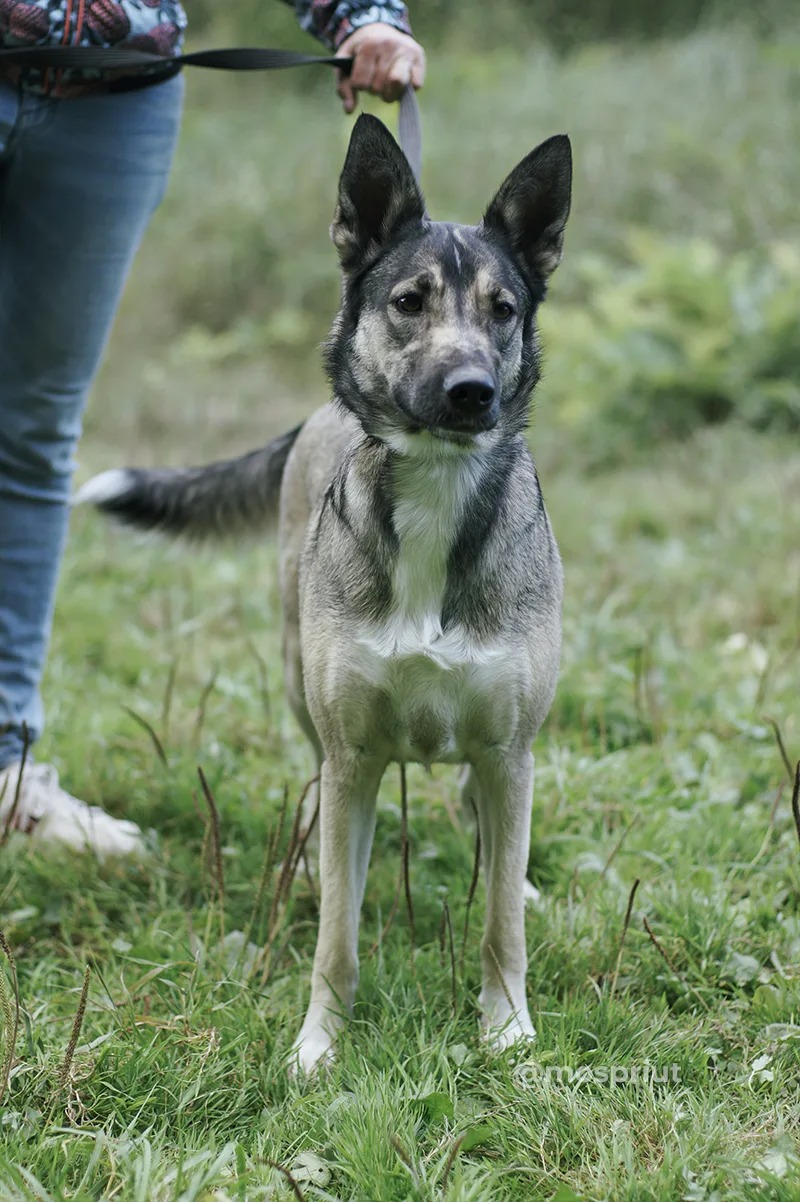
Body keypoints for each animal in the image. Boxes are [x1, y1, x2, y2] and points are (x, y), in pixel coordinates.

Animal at [78, 114, 569, 1072]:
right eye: (409, 301)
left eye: (504, 310)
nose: (472, 394)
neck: (435, 494)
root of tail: (318, 415)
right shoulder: (354, 754)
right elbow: (337, 934)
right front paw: (320, 1043)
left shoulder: (507, 747)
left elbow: (499, 923)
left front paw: (508, 1029)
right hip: (296, 681)